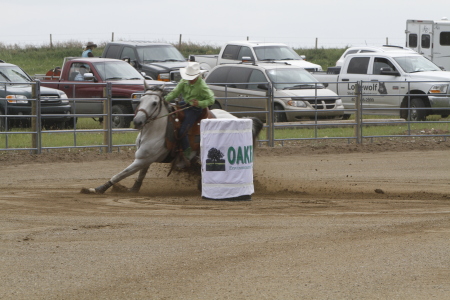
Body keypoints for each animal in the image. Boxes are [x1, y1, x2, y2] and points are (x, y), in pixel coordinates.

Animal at [82, 84, 262, 195]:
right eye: (141, 100)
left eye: (154, 103)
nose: (138, 121)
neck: (155, 130)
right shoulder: (145, 158)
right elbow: (140, 175)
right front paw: (133, 189)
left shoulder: (142, 159)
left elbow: (120, 174)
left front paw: (98, 189)